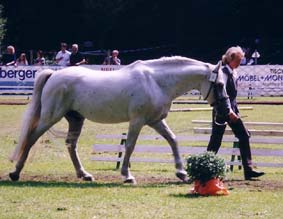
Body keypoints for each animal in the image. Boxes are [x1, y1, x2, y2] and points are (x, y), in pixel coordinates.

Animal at [8, 55, 224, 184]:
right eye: (221, 84)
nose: (225, 110)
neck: (155, 81)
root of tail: (54, 74)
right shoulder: (137, 121)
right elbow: (129, 146)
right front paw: (127, 176)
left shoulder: (155, 121)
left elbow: (173, 140)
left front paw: (182, 173)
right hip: (51, 117)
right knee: (31, 138)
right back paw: (15, 173)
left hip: (76, 120)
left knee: (71, 145)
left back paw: (84, 174)